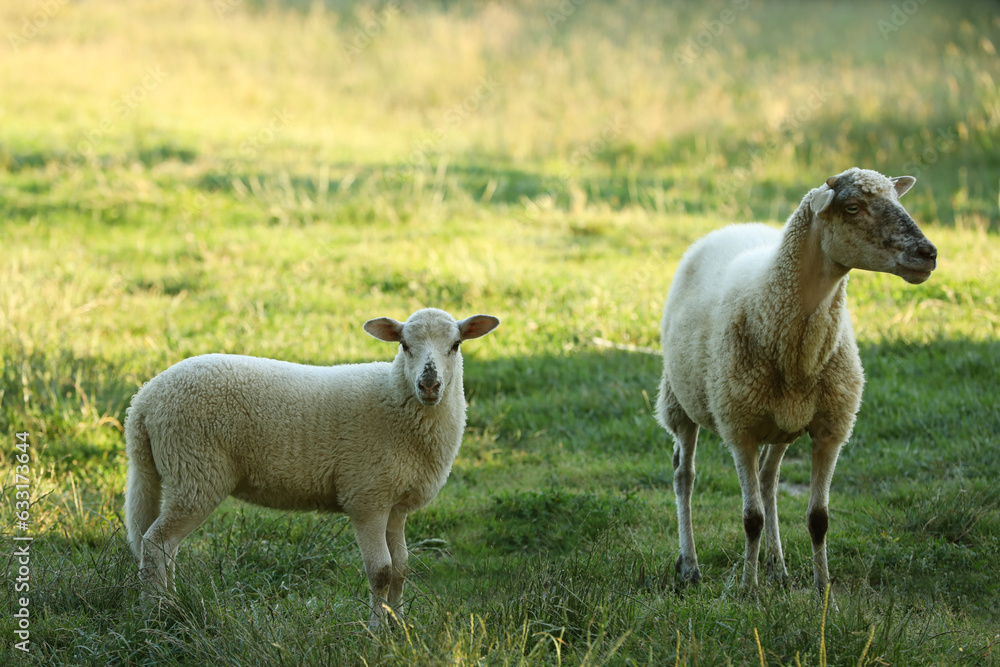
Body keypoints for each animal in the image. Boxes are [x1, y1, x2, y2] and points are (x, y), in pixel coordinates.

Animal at [125, 308, 500, 632]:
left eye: (456, 344)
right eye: (404, 345)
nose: (429, 385)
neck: (395, 399)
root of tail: (143, 401)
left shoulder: (396, 504)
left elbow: (401, 569)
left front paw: (400, 625)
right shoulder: (367, 497)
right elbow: (381, 571)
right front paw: (377, 630)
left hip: (177, 473)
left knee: (166, 547)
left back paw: (171, 604)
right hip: (194, 470)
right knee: (155, 543)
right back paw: (156, 614)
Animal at [656, 170, 936, 596]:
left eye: (896, 198)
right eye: (852, 207)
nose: (929, 253)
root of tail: (734, 226)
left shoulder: (831, 429)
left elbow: (818, 519)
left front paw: (823, 592)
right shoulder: (739, 428)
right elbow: (750, 518)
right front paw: (747, 592)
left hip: (782, 423)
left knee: (769, 480)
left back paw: (777, 567)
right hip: (680, 400)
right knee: (684, 476)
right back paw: (690, 567)